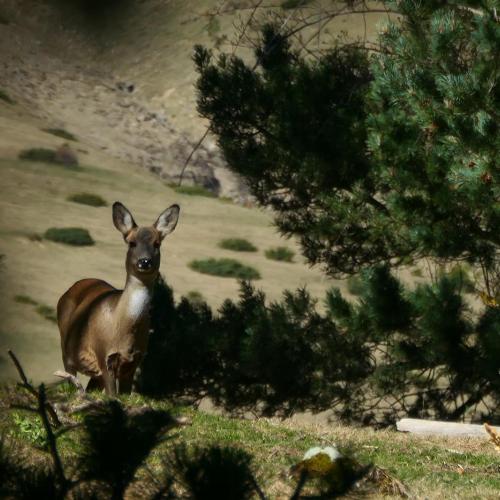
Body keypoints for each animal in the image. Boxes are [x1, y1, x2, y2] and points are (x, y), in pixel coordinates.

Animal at [57, 202, 180, 394]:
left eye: (157, 244)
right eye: (132, 243)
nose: (145, 261)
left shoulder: (134, 362)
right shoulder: (103, 354)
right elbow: (112, 394)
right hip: (67, 349)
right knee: (69, 377)